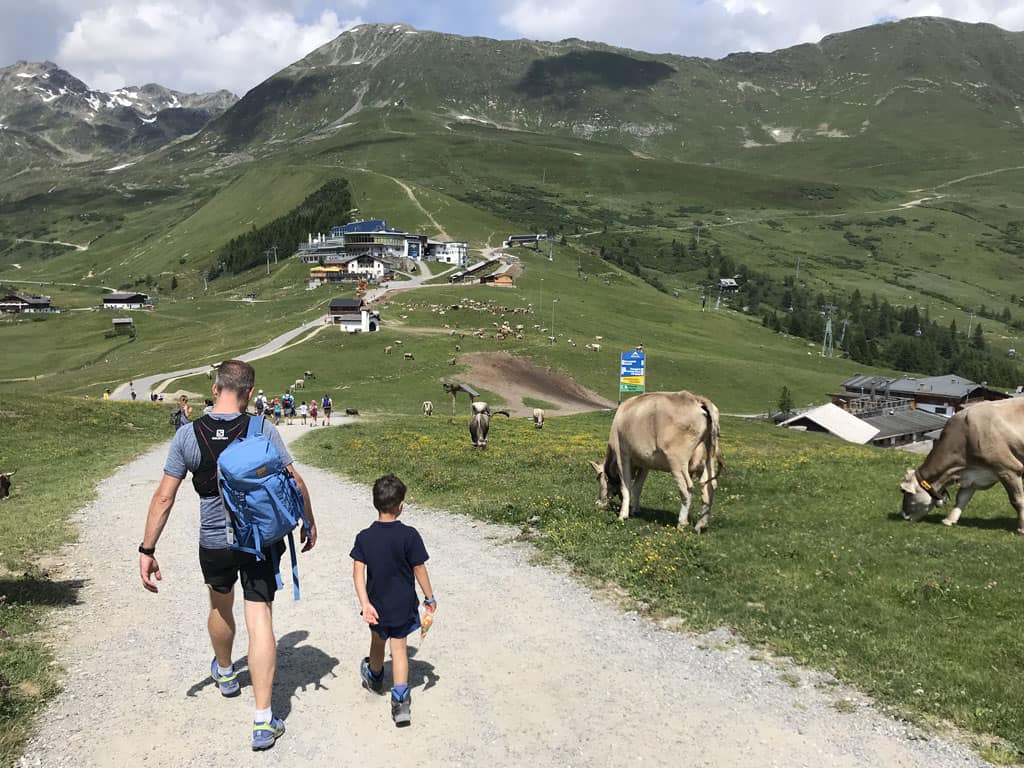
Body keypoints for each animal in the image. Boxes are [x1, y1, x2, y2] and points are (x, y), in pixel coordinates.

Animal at [589, 393, 724, 532]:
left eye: (599, 480)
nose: (598, 503)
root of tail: (696, 398)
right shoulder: (645, 463)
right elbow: (637, 487)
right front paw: (635, 510)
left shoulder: (623, 455)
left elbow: (625, 486)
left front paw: (623, 515)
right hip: (708, 460)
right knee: (709, 487)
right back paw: (700, 525)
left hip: (677, 461)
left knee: (687, 488)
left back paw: (682, 523)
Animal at [901, 397, 1024, 536]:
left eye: (904, 491)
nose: (904, 515)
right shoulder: (972, 473)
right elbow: (962, 498)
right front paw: (949, 520)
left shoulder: (1009, 469)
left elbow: (1017, 501)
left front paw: (1021, 529)